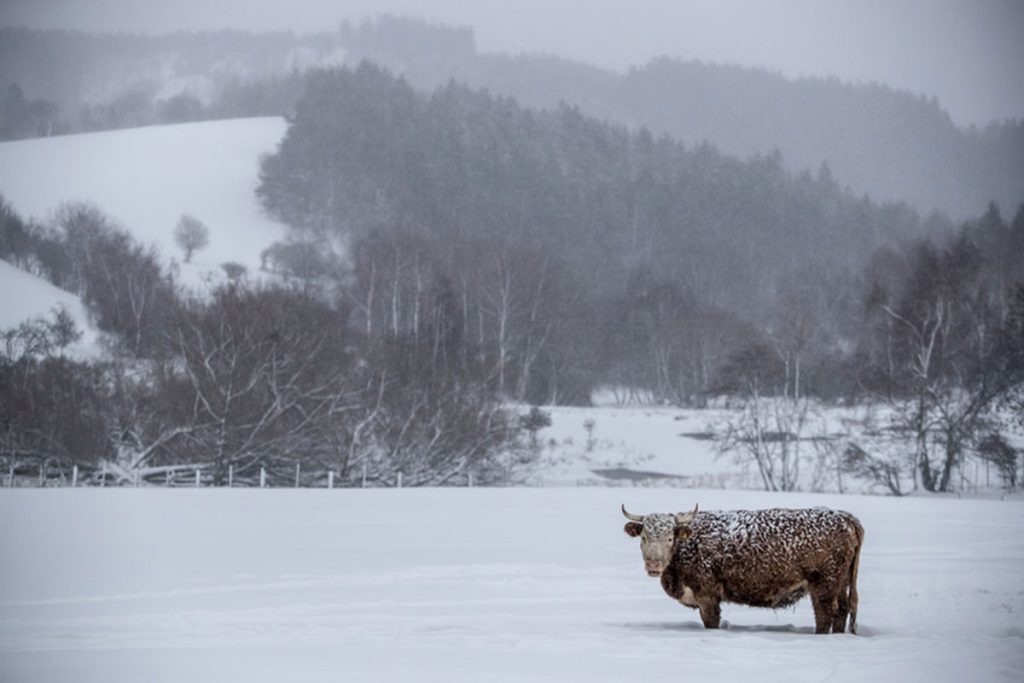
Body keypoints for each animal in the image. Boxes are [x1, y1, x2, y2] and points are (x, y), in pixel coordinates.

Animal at [622, 501, 864, 634]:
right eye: (644, 537)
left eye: (670, 537)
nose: (653, 564)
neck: (689, 544)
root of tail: (845, 517)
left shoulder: (708, 596)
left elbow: (711, 622)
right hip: (841, 584)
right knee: (843, 611)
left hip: (823, 585)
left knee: (826, 615)